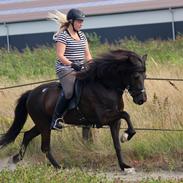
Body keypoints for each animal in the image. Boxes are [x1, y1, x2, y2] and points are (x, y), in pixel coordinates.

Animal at [0, 49, 147, 172]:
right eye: (135, 76)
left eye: (144, 76)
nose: (142, 99)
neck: (105, 86)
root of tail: (31, 93)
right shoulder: (104, 117)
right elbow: (126, 114)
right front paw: (126, 135)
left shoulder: (114, 121)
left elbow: (117, 144)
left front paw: (124, 165)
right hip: (44, 125)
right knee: (45, 147)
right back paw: (59, 167)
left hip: (42, 124)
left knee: (27, 135)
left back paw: (15, 159)